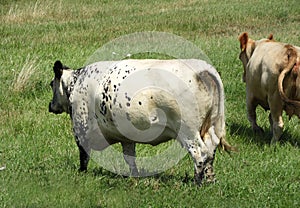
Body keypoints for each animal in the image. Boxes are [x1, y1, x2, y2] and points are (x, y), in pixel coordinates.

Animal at [48, 58, 234, 185]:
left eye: (51, 84)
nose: (50, 105)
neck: (76, 83)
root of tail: (201, 70)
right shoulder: (126, 137)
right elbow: (130, 158)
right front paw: (134, 176)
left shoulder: (81, 126)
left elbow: (83, 154)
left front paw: (81, 173)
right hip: (212, 125)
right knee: (210, 151)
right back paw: (210, 180)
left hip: (188, 131)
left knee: (200, 153)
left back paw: (197, 182)